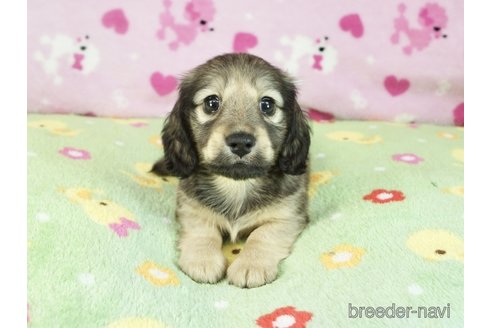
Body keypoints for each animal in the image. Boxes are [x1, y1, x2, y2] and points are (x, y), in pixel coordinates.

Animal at [152, 52, 310, 288]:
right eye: (211, 103)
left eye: (267, 104)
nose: (241, 142)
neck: (237, 184)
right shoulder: (191, 210)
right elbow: (203, 231)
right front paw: (203, 260)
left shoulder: (287, 216)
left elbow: (263, 235)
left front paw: (252, 265)